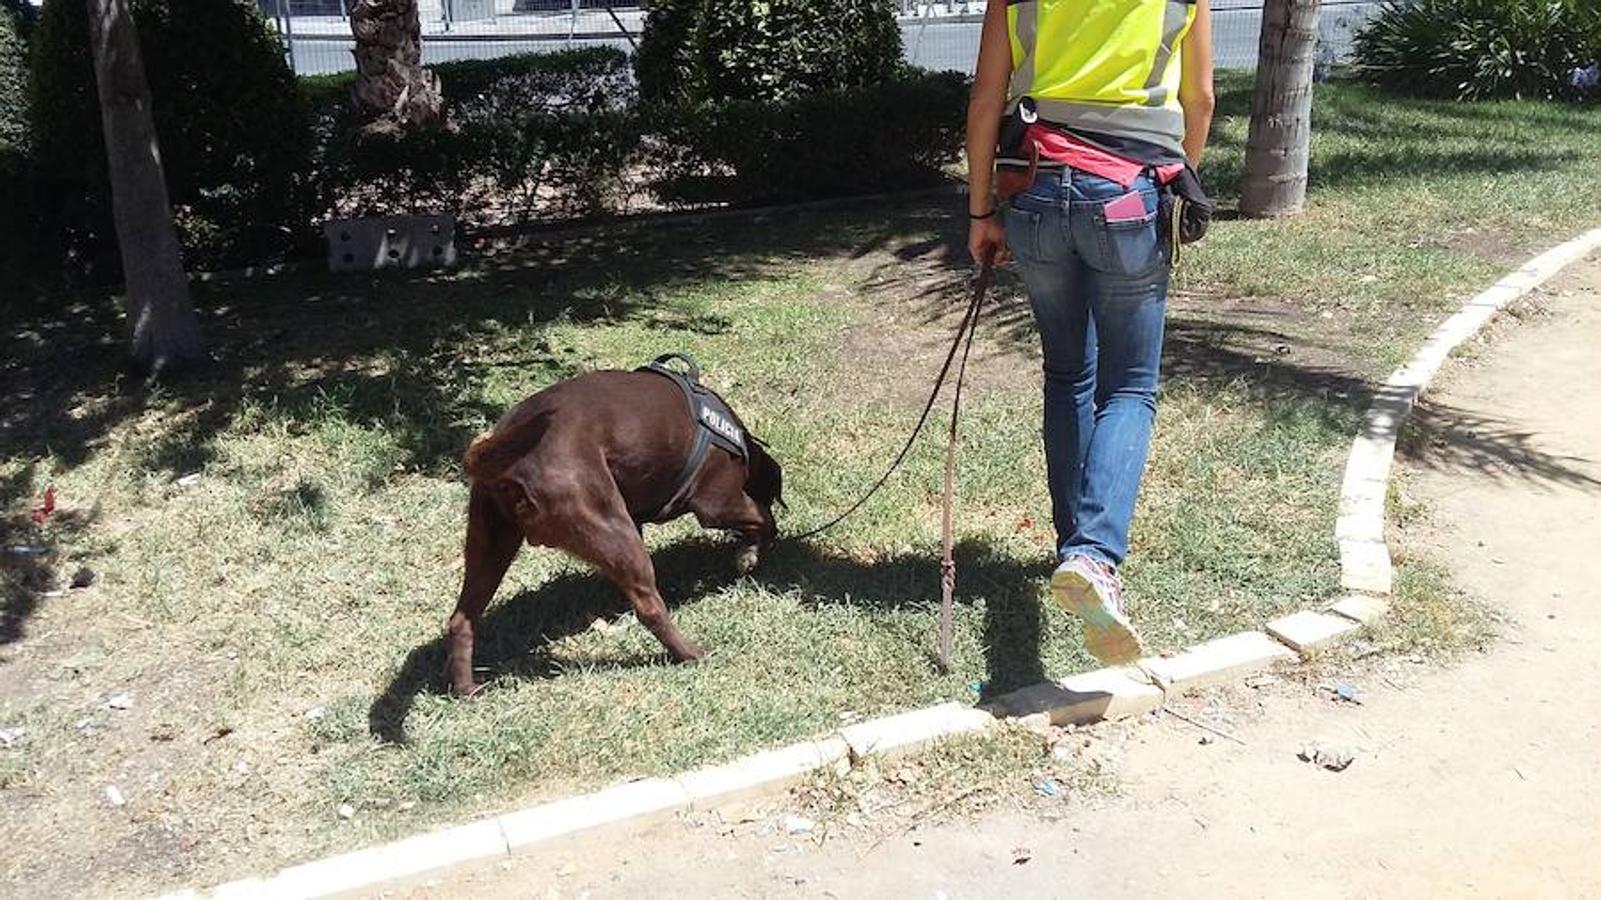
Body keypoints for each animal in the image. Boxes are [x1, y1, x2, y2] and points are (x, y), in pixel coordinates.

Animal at [445, 360, 781, 688]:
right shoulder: (716, 502)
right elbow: (764, 518)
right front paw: (751, 553)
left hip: (490, 542)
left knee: (461, 620)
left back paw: (467, 690)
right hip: (613, 530)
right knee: (649, 608)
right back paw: (690, 653)